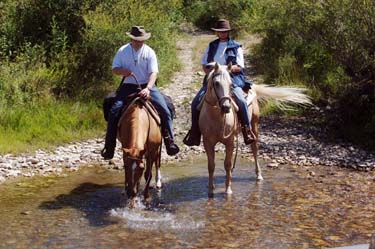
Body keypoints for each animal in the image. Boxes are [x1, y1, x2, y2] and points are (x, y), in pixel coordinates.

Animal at [201, 62, 312, 196]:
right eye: (216, 83)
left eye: (231, 84)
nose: (226, 107)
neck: (217, 117)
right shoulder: (207, 142)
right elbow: (211, 165)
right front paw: (210, 190)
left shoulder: (230, 141)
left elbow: (227, 164)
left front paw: (228, 190)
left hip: (254, 125)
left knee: (254, 149)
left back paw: (259, 175)